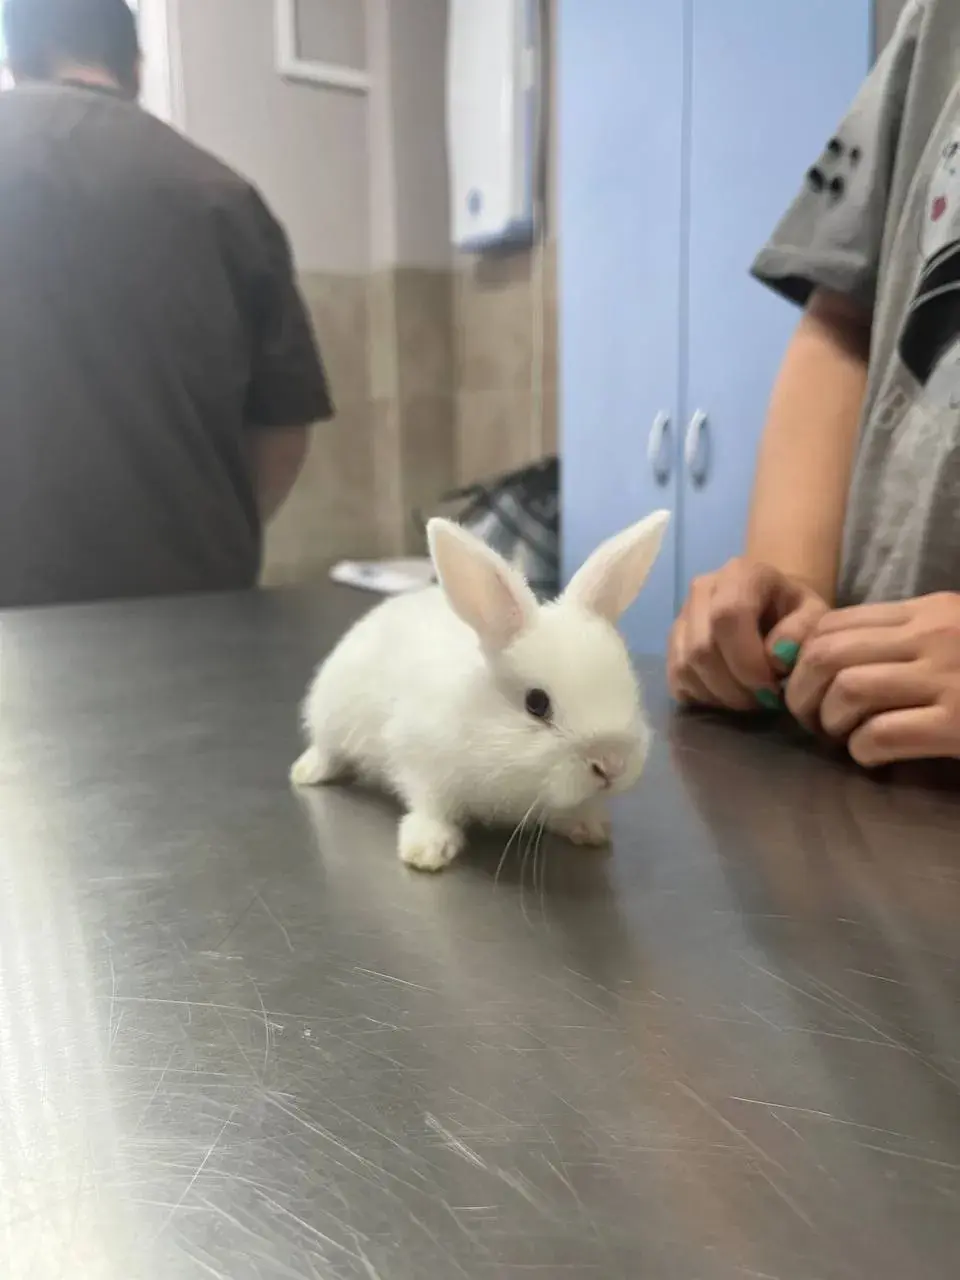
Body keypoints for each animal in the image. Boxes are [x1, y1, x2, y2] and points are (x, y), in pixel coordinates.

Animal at [291, 509, 670, 871]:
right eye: (536, 703)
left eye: (629, 686)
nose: (612, 764)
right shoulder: (421, 759)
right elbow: (430, 806)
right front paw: (428, 848)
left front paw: (588, 826)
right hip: (330, 716)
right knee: (326, 749)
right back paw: (306, 773)